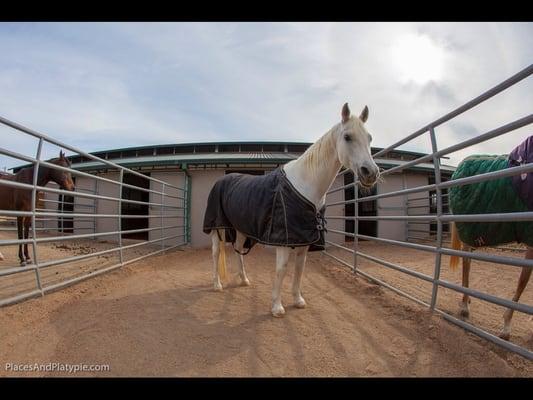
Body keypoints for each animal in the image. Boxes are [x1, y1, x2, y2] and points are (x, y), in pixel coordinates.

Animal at [204, 104, 378, 318]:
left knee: (238, 250)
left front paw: (298, 300)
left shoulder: (304, 241)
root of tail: (221, 180)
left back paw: (244, 280)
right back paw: (217, 285)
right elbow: (282, 269)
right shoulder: (283, 240)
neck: (304, 185)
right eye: (347, 137)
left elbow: (299, 270)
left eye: (369, 137)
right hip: (216, 228)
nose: (371, 173)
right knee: (215, 252)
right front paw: (277, 307)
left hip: (241, 228)